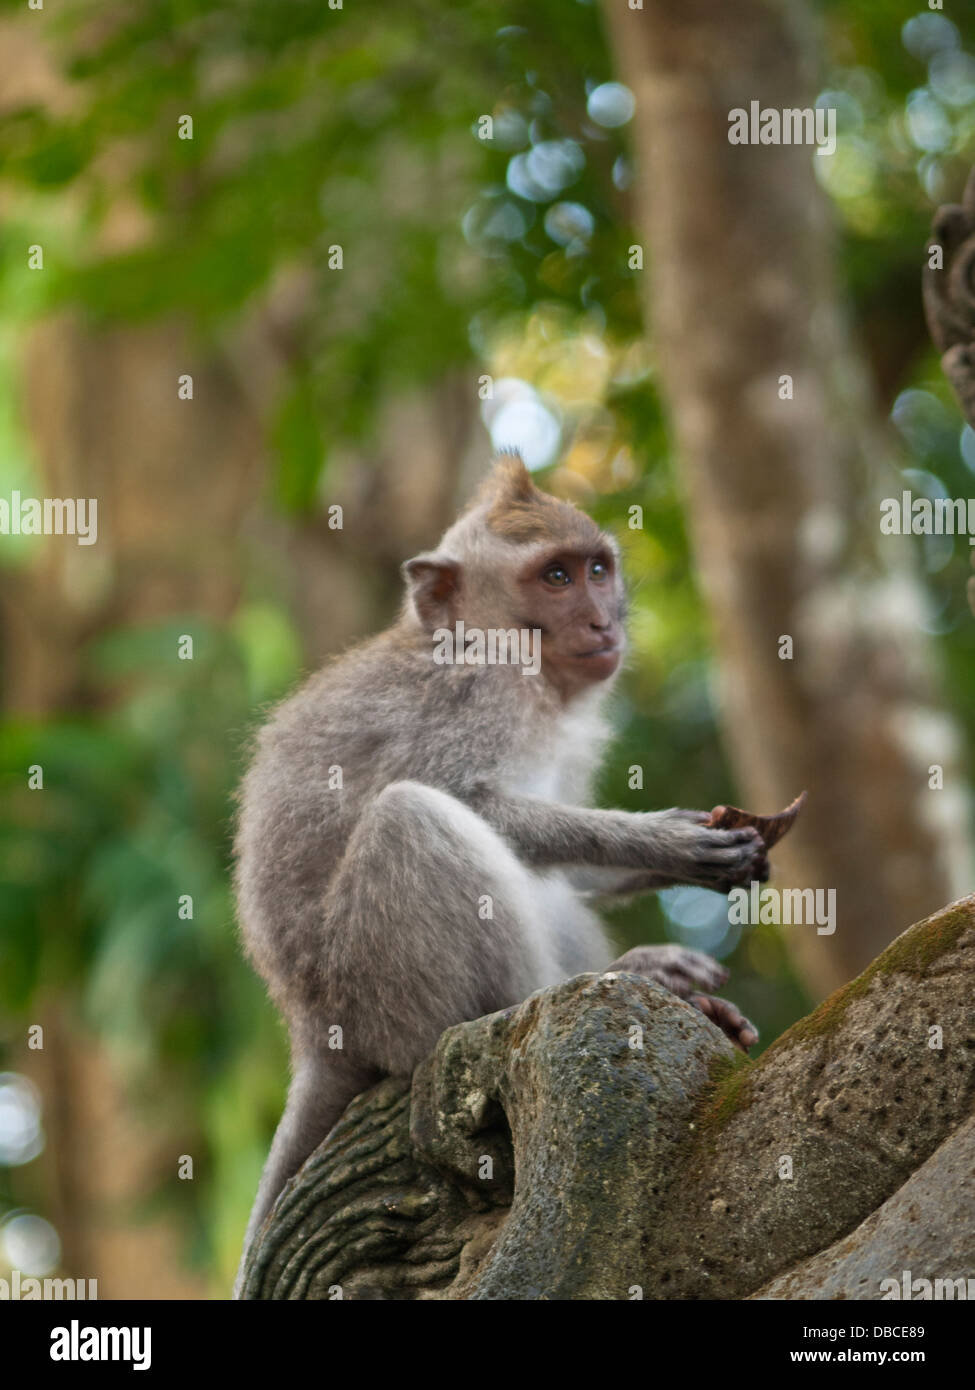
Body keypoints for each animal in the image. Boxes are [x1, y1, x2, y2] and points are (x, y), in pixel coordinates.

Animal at [232, 450, 762, 1284]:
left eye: (597, 569)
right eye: (554, 578)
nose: (602, 622)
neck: (505, 654)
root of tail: (310, 1029)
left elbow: (567, 868)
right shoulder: (475, 698)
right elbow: (471, 799)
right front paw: (660, 842)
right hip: (374, 990)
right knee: (410, 817)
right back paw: (540, 1001)